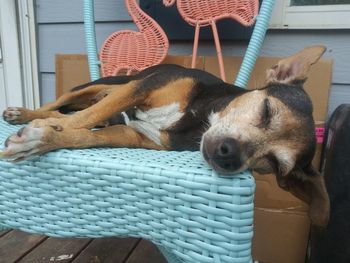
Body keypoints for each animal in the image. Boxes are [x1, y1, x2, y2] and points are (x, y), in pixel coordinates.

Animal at [0, 46, 328, 227]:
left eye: (273, 165)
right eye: (266, 110)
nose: (229, 155)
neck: (197, 117)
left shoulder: (135, 136)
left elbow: (84, 135)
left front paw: (45, 138)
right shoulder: (142, 88)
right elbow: (83, 119)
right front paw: (39, 133)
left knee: (69, 114)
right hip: (103, 84)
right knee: (60, 105)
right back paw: (24, 113)